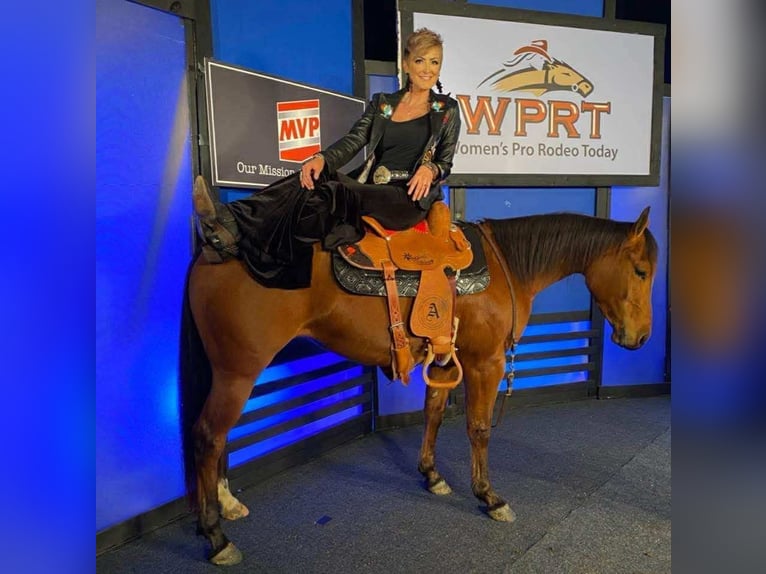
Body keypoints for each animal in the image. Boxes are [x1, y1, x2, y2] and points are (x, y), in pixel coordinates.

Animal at [179, 206, 657, 565]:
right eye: (639, 271)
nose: (640, 339)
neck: (507, 265)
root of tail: (216, 248)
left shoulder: (446, 360)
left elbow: (434, 414)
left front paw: (432, 475)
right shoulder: (484, 364)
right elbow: (478, 429)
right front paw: (489, 497)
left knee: (214, 440)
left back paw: (222, 508)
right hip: (239, 374)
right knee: (208, 437)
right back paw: (216, 537)